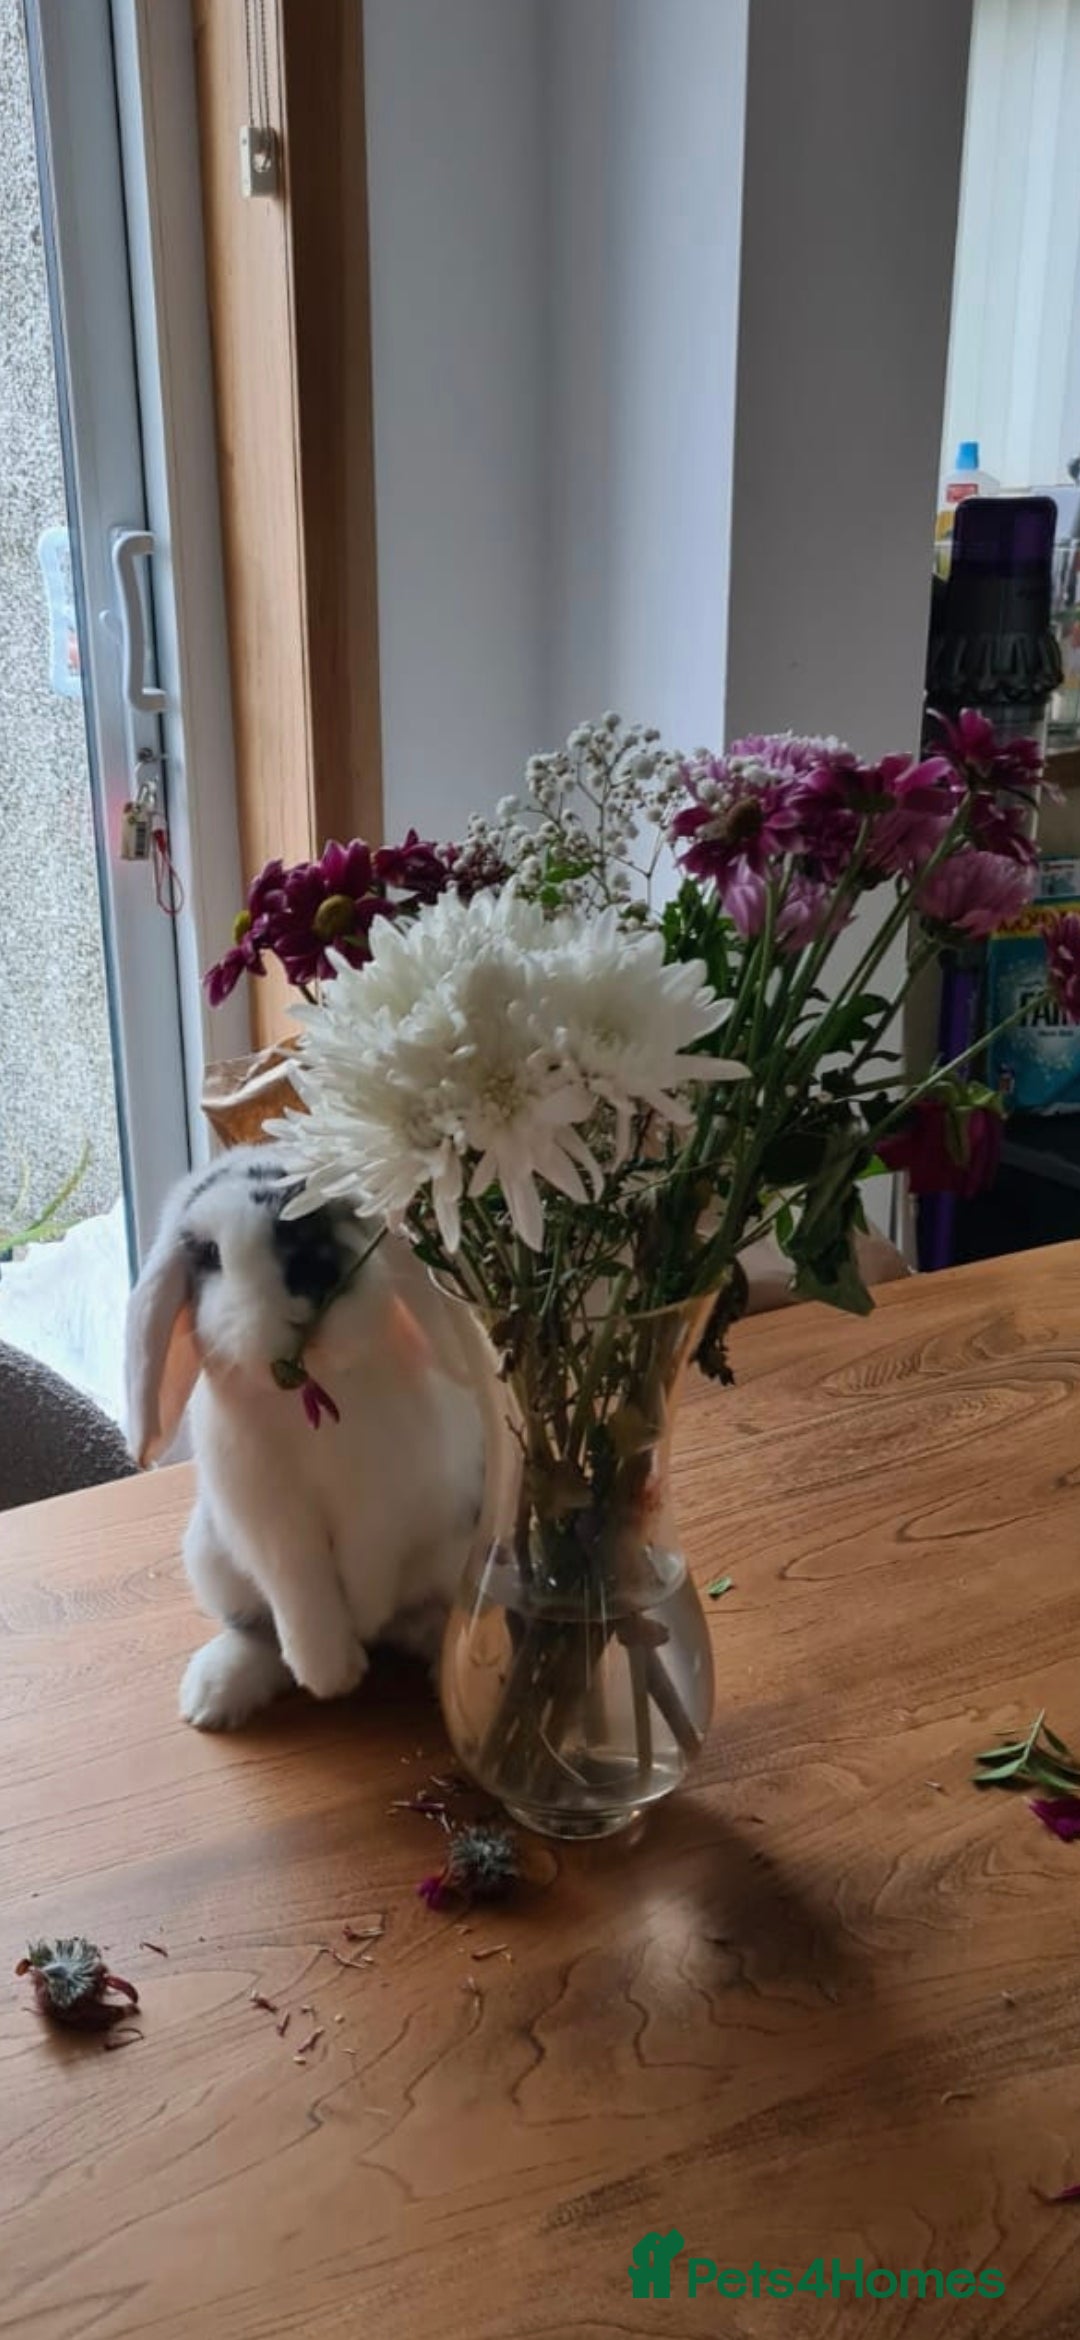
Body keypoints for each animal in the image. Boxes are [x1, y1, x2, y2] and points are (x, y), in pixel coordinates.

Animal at [125, 1145, 489, 1732]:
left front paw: (359, 1624)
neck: (314, 1385)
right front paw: (331, 1672)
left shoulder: (385, 1501)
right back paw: (211, 1695)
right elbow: (301, 1588)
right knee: (256, 1629)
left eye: (346, 1208)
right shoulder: (269, 1521)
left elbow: (366, 1564)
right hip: (212, 1560)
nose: (313, 1271)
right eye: (208, 1254)